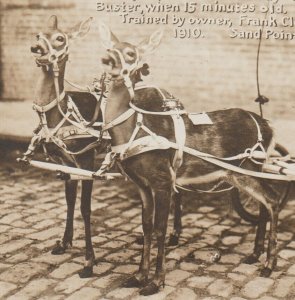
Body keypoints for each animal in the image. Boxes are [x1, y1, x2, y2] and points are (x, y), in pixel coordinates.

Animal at [25, 15, 110, 278]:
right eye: (37, 34)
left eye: (60, 38)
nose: (36, 48)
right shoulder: (64, 164)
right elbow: (69, 201)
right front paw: (63, 243)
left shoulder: (87, 160)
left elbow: (85, 207)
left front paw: (89, 261)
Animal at [100, 23, 284, 296]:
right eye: (110, 47)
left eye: (131, 53)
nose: (106, 59)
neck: (132, 129)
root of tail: (268, 126)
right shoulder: (141, 184)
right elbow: (145, 226)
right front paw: (138, 276)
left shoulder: (163, 179)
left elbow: (160, 228)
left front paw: (156, 281)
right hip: (241, 171)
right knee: (264, 201)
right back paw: (255, 254)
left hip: (248, 167)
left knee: (272, 199)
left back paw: (269, 264)